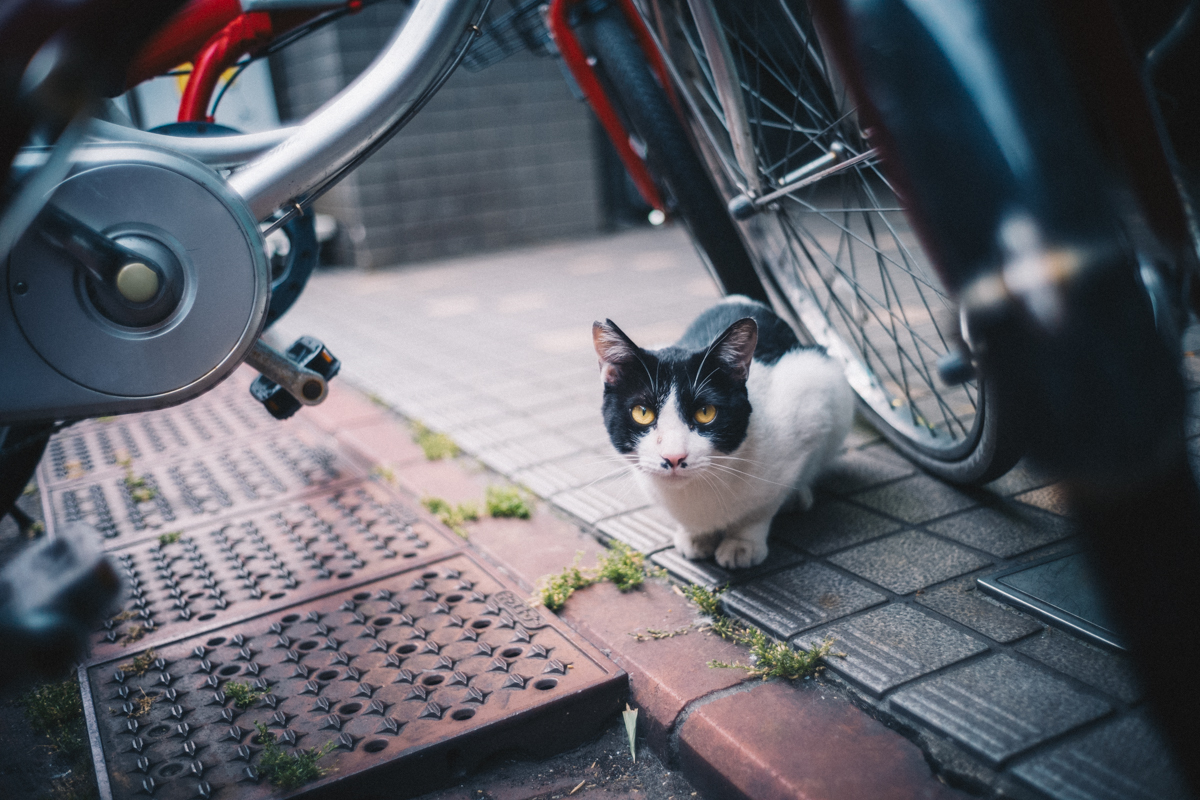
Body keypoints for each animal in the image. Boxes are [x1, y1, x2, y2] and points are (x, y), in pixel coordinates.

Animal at [590, 296, 854, 568]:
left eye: (706, 412)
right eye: (642, 413)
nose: (673, 457)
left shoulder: (809, 404)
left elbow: (759, 511)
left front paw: (742, 544)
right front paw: (695, 537)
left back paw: (798, 495)